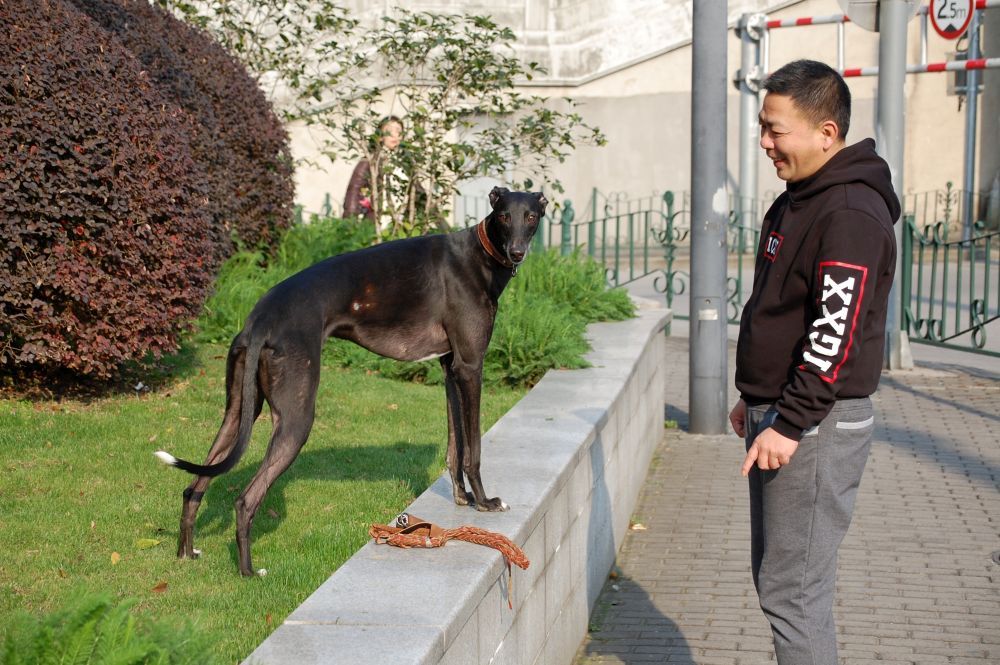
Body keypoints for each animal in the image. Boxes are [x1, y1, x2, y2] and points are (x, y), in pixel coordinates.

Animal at [156, 185, 548, 576]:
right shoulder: (470, 366)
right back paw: (249, 572)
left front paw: (462, 498)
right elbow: (474, 449)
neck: (478, 256)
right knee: (244, 500)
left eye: (530, 215)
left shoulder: (450, 368)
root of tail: (260, 319)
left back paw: (186, 553)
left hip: (240, 409)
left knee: (194, 487)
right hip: (296, 417)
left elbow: (456, 446)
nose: (517, 252)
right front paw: (484, 501)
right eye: (503, 216)